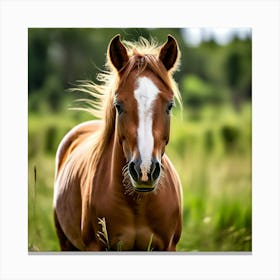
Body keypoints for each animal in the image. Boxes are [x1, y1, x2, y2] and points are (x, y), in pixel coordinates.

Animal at [53, 35, 183, 252]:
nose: (144, 170)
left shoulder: (168, 247)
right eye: (118, 106)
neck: (138, 204)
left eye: (170, 106)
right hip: (66, 243)